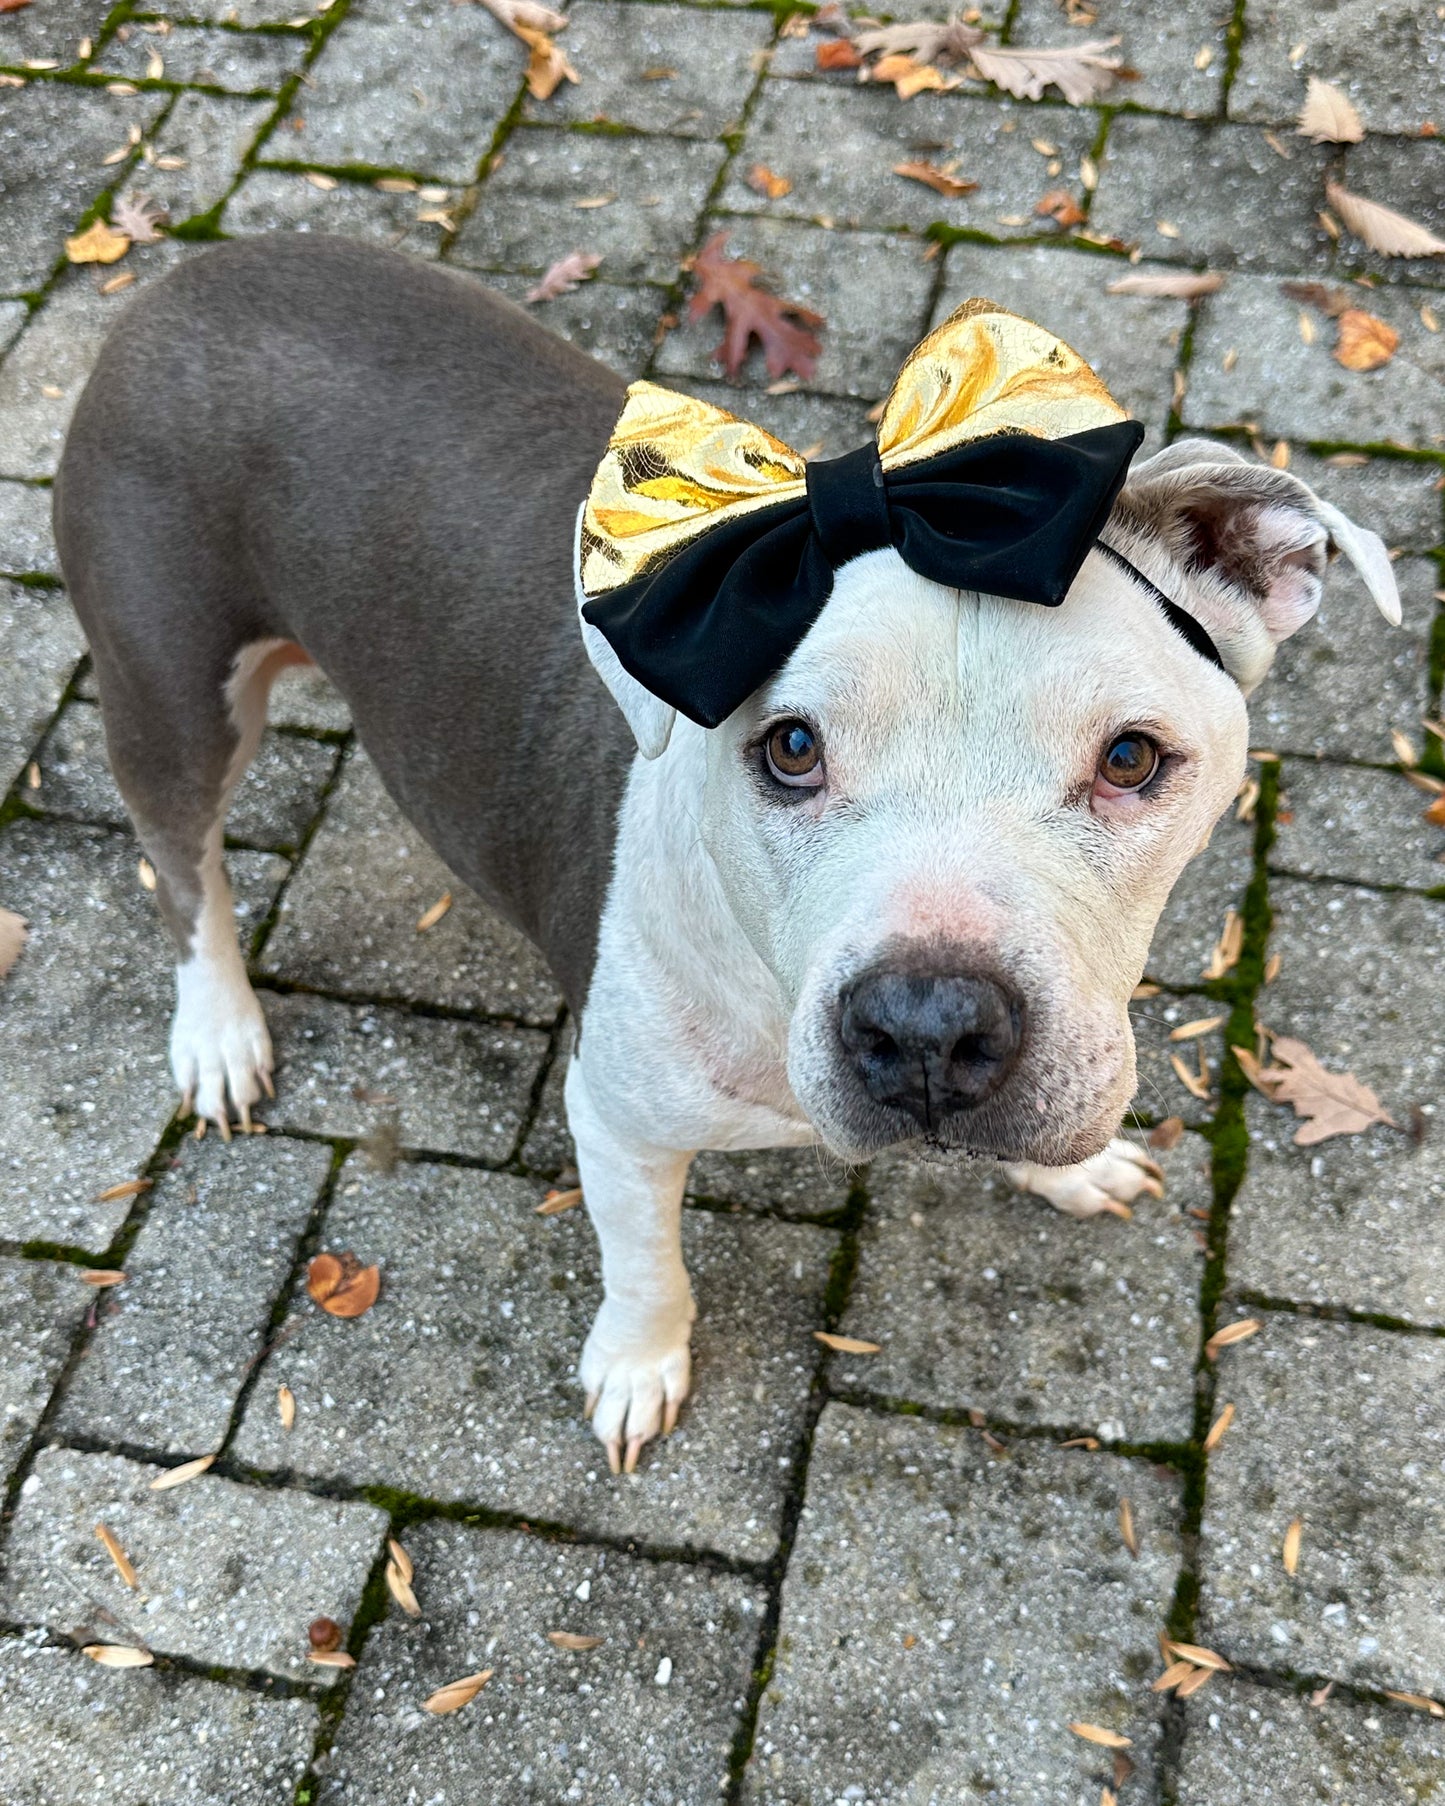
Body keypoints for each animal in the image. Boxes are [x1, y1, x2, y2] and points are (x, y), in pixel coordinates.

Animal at [53, 240, 1401, 1473]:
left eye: (1129, 758)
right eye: (790, 748)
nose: (926, 1029)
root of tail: (188, 274)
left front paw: (1071, 1173)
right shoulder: (614, 1121)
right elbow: (647, 1266)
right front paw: (638, 1367)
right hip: (169, 696)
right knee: (185, 872)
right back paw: (219, 1032)